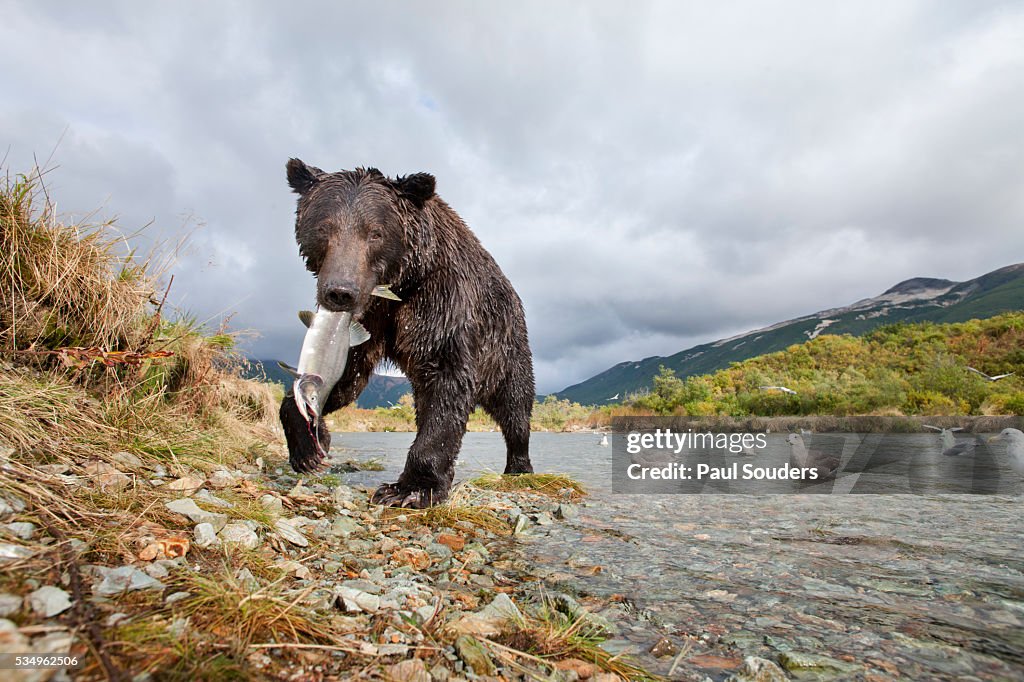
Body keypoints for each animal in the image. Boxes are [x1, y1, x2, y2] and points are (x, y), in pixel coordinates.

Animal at [280, 157, 536, 503]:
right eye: (323, 227)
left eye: (374, 233)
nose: (340, 292)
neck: (400, 286)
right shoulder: (372, 319)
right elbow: (348, 377)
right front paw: (308, 447)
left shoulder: (442, 305)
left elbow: (446, 384)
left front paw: (410, 488)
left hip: (506, 347)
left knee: (515, 405)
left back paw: (519, 465)